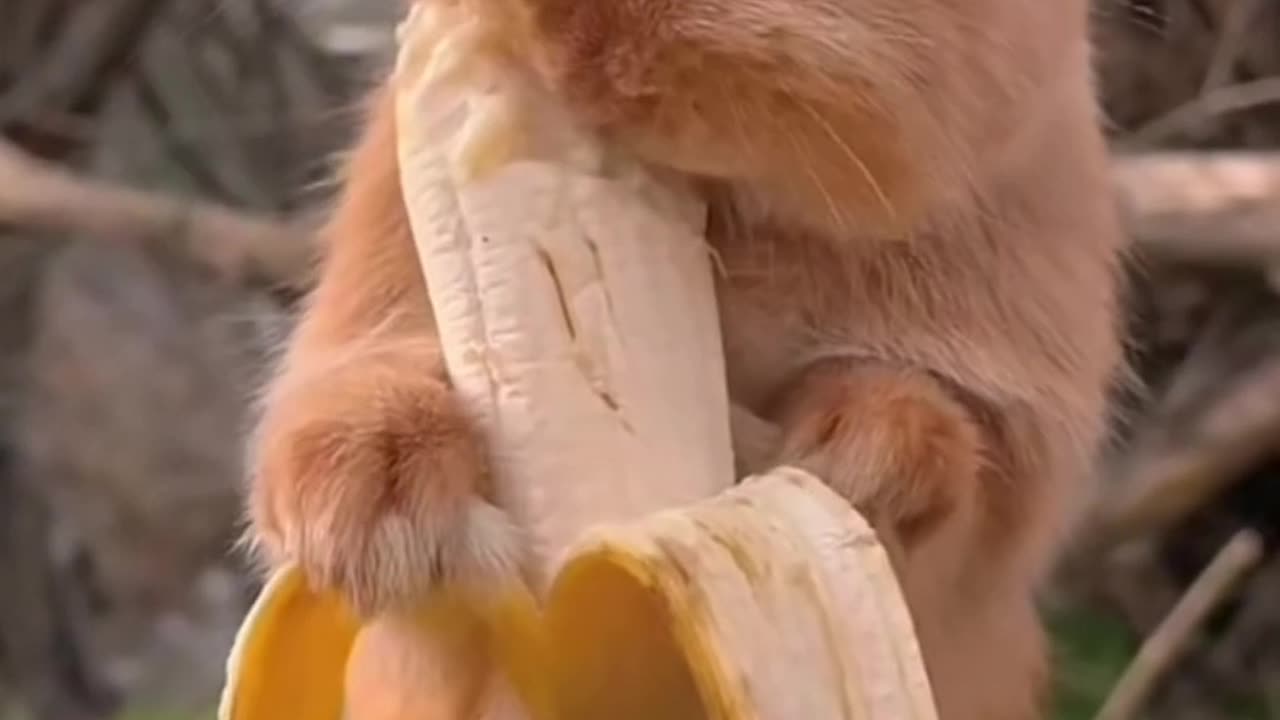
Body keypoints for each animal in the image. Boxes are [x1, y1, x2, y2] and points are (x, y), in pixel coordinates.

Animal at [244, 2, 1126, 712]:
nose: (553, 31)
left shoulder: (1006, 430)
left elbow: (951, 485)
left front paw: (860, 459)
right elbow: (349, 382)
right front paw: (383, 509)